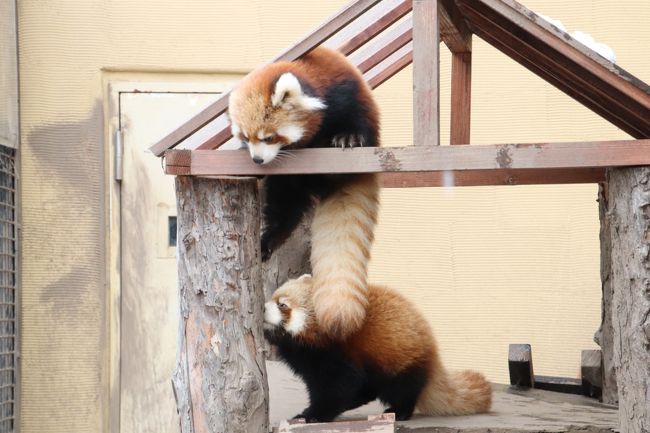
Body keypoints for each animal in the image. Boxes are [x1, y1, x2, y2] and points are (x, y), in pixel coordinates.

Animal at [228, 46, 380, 338]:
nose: (257, 160)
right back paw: (268, 241)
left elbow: (355, 119)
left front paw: (349, 137)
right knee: (284, 208)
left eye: (268, 137)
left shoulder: (345, 92)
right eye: (246, 138)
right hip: (289, 182)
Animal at [264, 274, 492, 422]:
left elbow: (339, 387)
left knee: (402, 389)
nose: (263, 307)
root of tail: (432, 349)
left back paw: (399, 411)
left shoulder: (339, 354)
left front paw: (313, 415)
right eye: (273, 297)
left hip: (399, 360)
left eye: (282, 305)